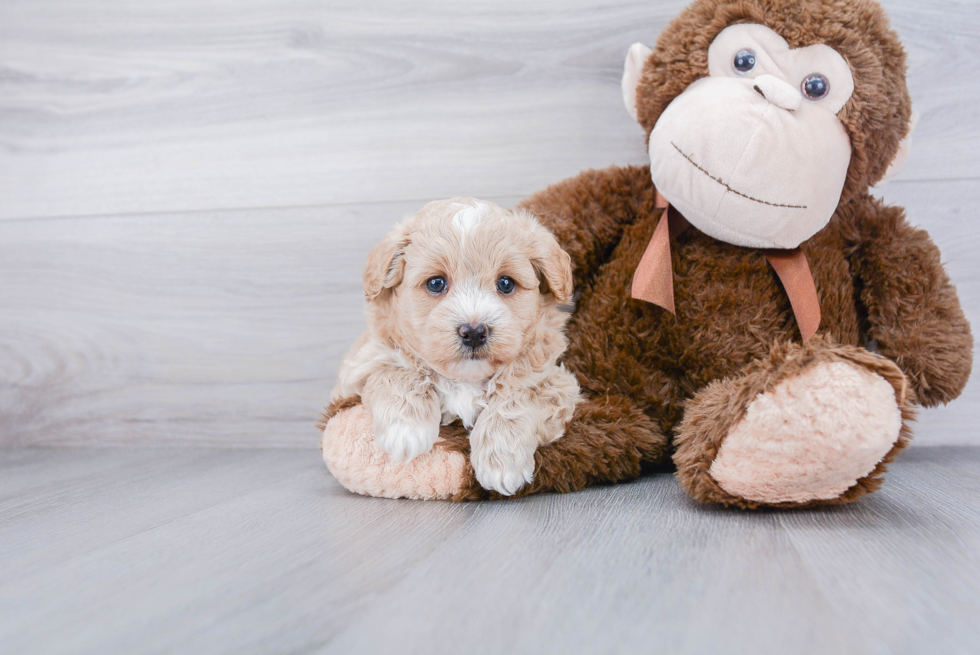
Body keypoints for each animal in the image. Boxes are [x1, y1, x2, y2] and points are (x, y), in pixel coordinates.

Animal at [334, 197, 580, 494]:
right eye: (436, 283)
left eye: (505, 283)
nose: (473, 332)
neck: (464, 379)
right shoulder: (363, 364)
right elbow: (398, 371)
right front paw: (406, 431)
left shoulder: (554, 380)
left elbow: (518, 397)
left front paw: (501, 462)